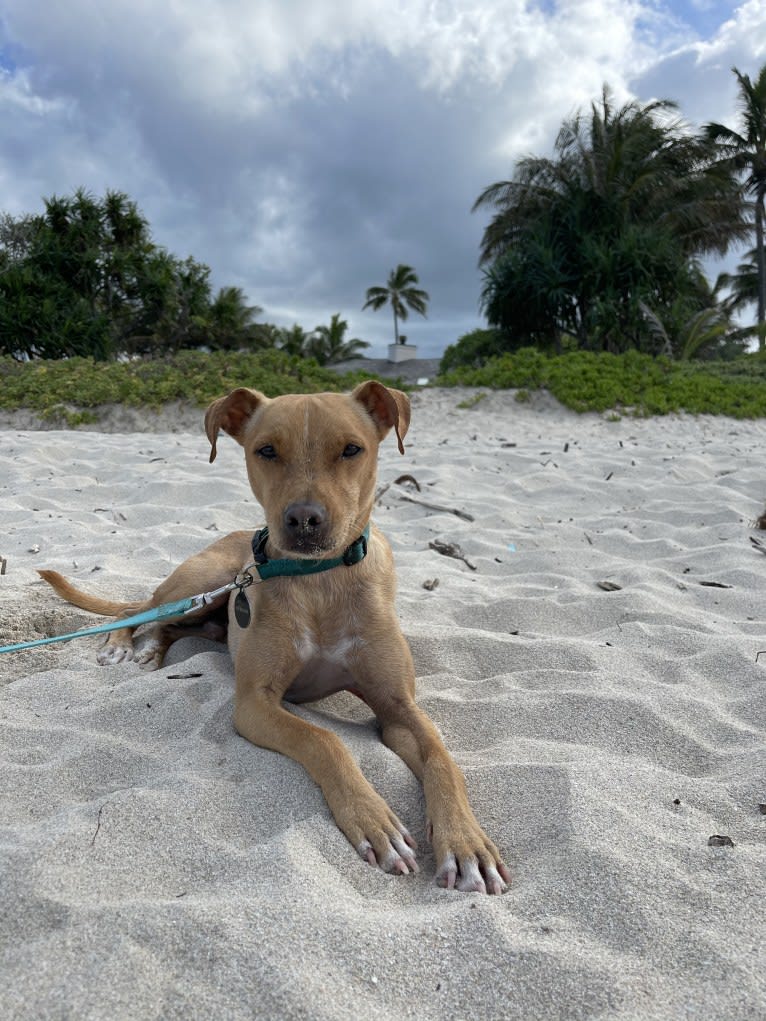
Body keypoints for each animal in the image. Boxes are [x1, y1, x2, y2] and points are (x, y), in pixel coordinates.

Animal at [40, 383, 510, 894]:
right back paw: (123, 645)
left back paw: (152, 650)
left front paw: (467, 844)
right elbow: (324, 739)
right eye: (266, 451)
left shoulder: (399, 709)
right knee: (137, 608)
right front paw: (373, 819)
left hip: (206, 607)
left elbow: (443, 761)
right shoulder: (255, 702)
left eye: (351, 449)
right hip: (198, 584)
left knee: (168, 624)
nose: (304, 520)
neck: (320, 581)